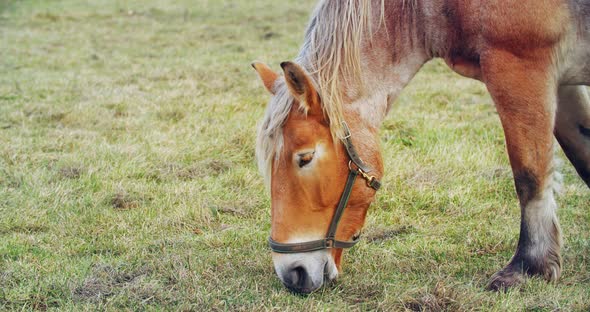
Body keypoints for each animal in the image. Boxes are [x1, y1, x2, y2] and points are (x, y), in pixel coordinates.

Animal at [253, 0, 590, 294]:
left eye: (305, 158)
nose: (292, 272)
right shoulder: (561, 84)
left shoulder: (520, 69)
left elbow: (530, 175)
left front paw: (528, 266)